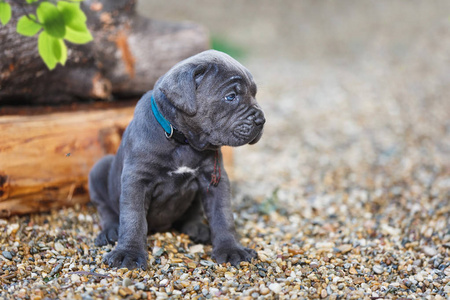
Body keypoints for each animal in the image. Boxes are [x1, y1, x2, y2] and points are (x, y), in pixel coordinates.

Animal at [89, 49, 264, 270]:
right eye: (230, 97)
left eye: (254, 94)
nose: (261, 120)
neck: (182, 139)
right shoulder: (136, 178)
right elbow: (133, 218)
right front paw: (128, 253)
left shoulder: (214, 178)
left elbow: (223, 215)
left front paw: (232, 249)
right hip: (99, 168)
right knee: (106, 208)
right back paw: (110, 231)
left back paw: (197, 228)